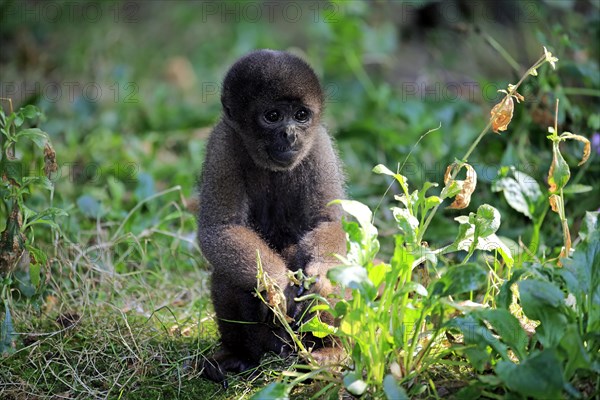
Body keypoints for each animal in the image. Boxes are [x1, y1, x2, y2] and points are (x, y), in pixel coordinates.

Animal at [198, 50, 346, 384]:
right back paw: (240, 356)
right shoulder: (222, 144)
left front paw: (319, 279)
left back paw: (330, 352)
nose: (290, 134)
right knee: (229, 273)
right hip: (269, 339)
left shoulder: (318, 143)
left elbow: (328, 222)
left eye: (301, 115)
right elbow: (220, 229)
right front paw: (275, 284)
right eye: (273, 116)